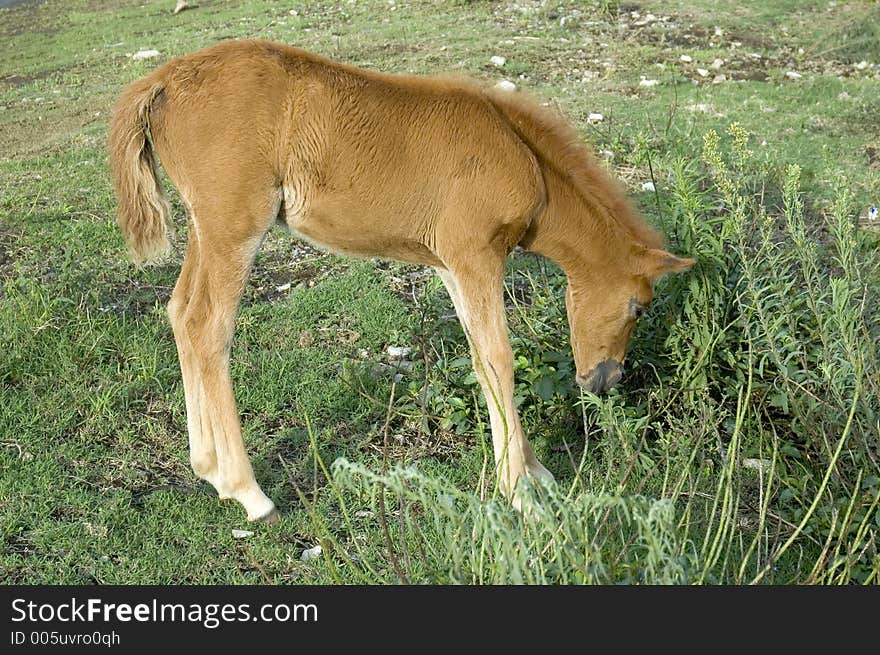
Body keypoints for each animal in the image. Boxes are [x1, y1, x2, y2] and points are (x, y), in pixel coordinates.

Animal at [110, 41, 692, 524]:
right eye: (639, 307)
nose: (603, 382)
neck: (523, 157)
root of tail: (160, 81)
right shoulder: (476, 257)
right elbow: (501, 360)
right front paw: (520, 492)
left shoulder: (451, 265)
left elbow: (481, 361)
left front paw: (532, 472)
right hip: (235, 228)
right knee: (208, 327)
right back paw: (249, 493)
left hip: (204, 229)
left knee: (180, 312)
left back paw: (207, 468)